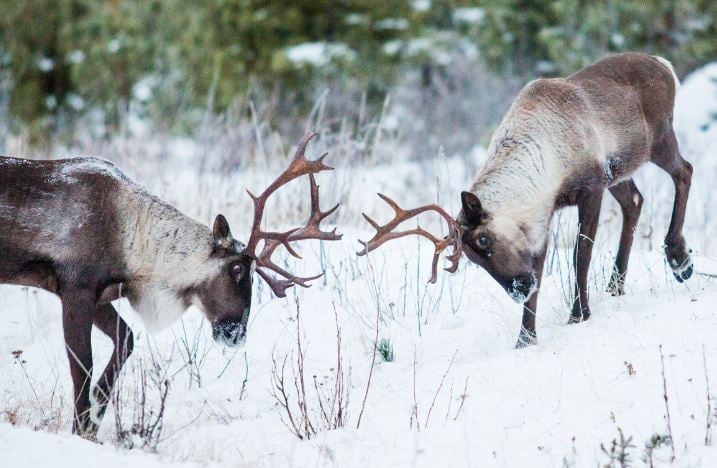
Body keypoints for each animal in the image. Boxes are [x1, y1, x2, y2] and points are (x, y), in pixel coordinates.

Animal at [0, 131, 341, 438]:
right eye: (236, 268)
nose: (235, 334)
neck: (131, 242)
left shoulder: (101, 295)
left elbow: (126, 341)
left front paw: (95, 415)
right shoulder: (76, 288)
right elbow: (82, 366)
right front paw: (81, 429)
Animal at [358, 52, 693, 348]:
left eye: (483, 240)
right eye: (472, 259)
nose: (518, 289)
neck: (547, 167)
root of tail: (665, 65)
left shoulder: (591, 187)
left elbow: (580, 254)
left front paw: (578, 316)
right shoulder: (541, 217)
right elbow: (540, 269)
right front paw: (525, 339)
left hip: (659, 139)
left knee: (684, 172)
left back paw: (679, 259)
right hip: (621, 172)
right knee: (635, 201)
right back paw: (616, 286)